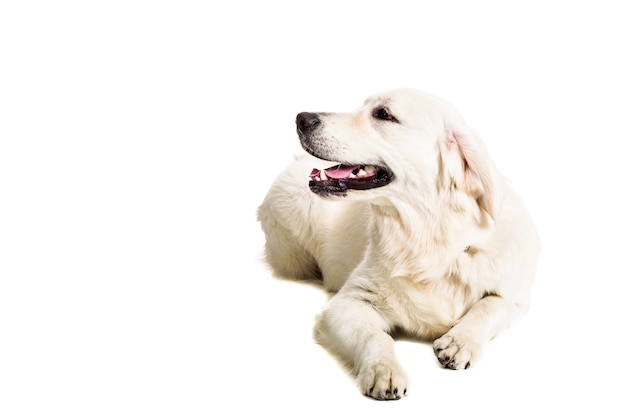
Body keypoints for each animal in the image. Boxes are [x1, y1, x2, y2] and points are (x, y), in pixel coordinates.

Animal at [256, 88, 540, 400]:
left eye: (383, 114)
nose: (302, 118)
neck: (428, 237)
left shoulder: (517, 297)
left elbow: (490, 305)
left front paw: (460, 341)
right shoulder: (346, 303)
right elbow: (374, 336)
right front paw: (384, 370)